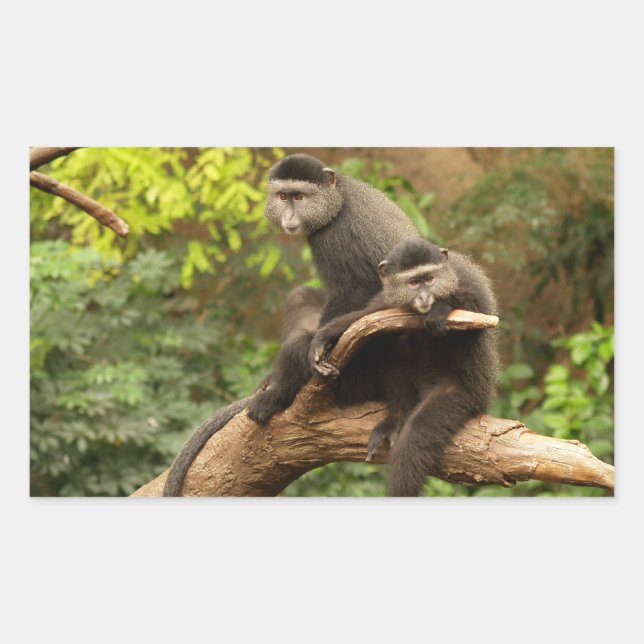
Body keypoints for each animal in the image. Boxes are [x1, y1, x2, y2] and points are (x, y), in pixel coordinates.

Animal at [246, 153, 419, 424]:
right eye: (283, 197)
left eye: (299, 197)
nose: (289, 217)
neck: (337, 200)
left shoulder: (334, 237)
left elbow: (358, 289)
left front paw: (318, 346)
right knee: (299, 297)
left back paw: (278, 395)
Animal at [308, 237, 500, 496]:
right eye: (413, 283)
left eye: (429, 279)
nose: (425, 297)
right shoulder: (387, 298)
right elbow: (367, 315)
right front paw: (325, 337)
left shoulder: (464, 282)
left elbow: (477, 312)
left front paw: (440, 310)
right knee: (398, 341)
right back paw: (396, 418)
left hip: (464, 395)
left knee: (417, 434)